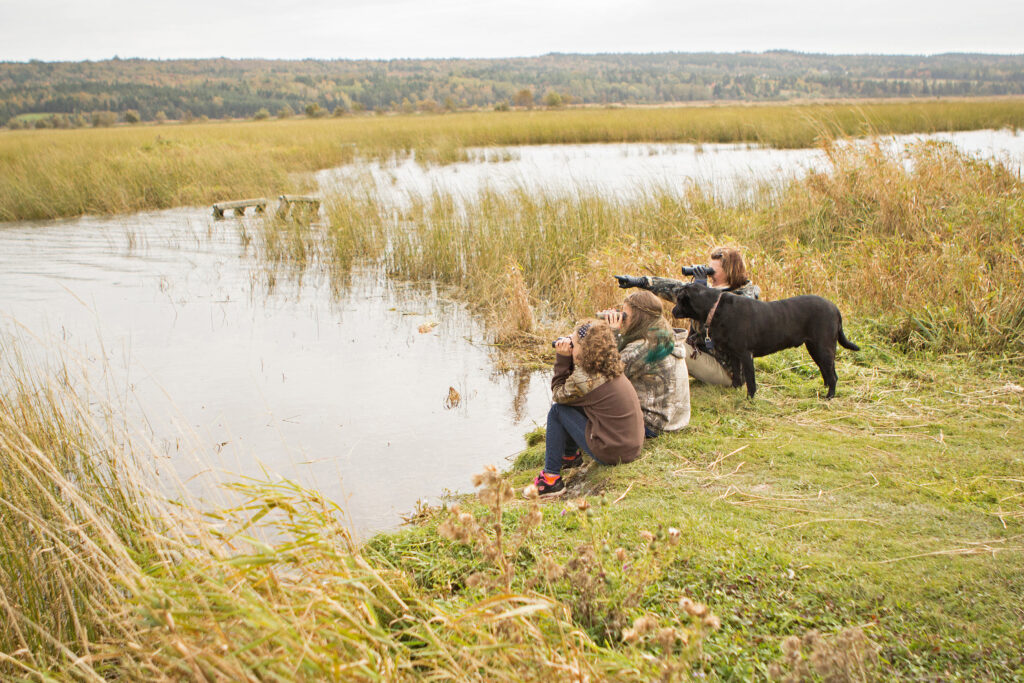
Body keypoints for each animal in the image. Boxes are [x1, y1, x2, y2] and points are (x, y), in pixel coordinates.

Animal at [671, 282, 856, 401]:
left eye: (679, 299)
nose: (672, 311)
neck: (714, 308)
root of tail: (835, 308)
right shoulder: (734, 353)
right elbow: (737, 375)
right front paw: (735, 390)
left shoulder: (746, 354)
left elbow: (750, 380)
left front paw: (750, 399)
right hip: (815, 348)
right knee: (827, 372)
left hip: (823, 347)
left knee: (833, 376)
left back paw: (829, 397)